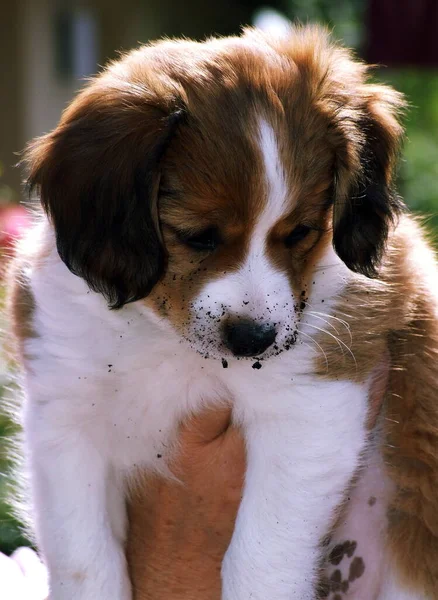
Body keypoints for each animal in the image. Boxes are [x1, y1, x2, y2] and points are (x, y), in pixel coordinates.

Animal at [8, 24, 438, 600]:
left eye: (300, 232)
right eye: (198, 237)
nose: (255, 338)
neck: (165, 339)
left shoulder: (307, 407)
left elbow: (258, 561)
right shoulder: (65, 420)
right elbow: (84, 560)